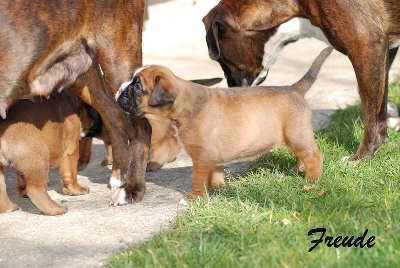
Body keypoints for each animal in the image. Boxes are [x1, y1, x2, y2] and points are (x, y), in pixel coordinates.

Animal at [0, 0, 150, 205]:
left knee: (141, 126)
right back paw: (120, 174)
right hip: (83, 73)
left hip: (118, 60)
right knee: (113, 114)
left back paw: (132, 188)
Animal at [116, 47, 334, 199]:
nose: (119, 90)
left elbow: (198, 178)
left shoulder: (201, 156)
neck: (187, 105)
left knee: (314, 156)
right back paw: (299, 170)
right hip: (295, 137)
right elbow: (216, 172)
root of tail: (294, 89)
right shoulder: (211, 156)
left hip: (297, 135)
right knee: (303, 155)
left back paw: (311, 181)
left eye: (137, 86)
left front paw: (193, 197)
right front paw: (218, 188)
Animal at [205, 0, 400, 161]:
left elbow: (370, 114)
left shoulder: (366, 45)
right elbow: (377, 103)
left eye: (221, 61)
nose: (231, 87)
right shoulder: (384, 51)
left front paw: (362, 157)